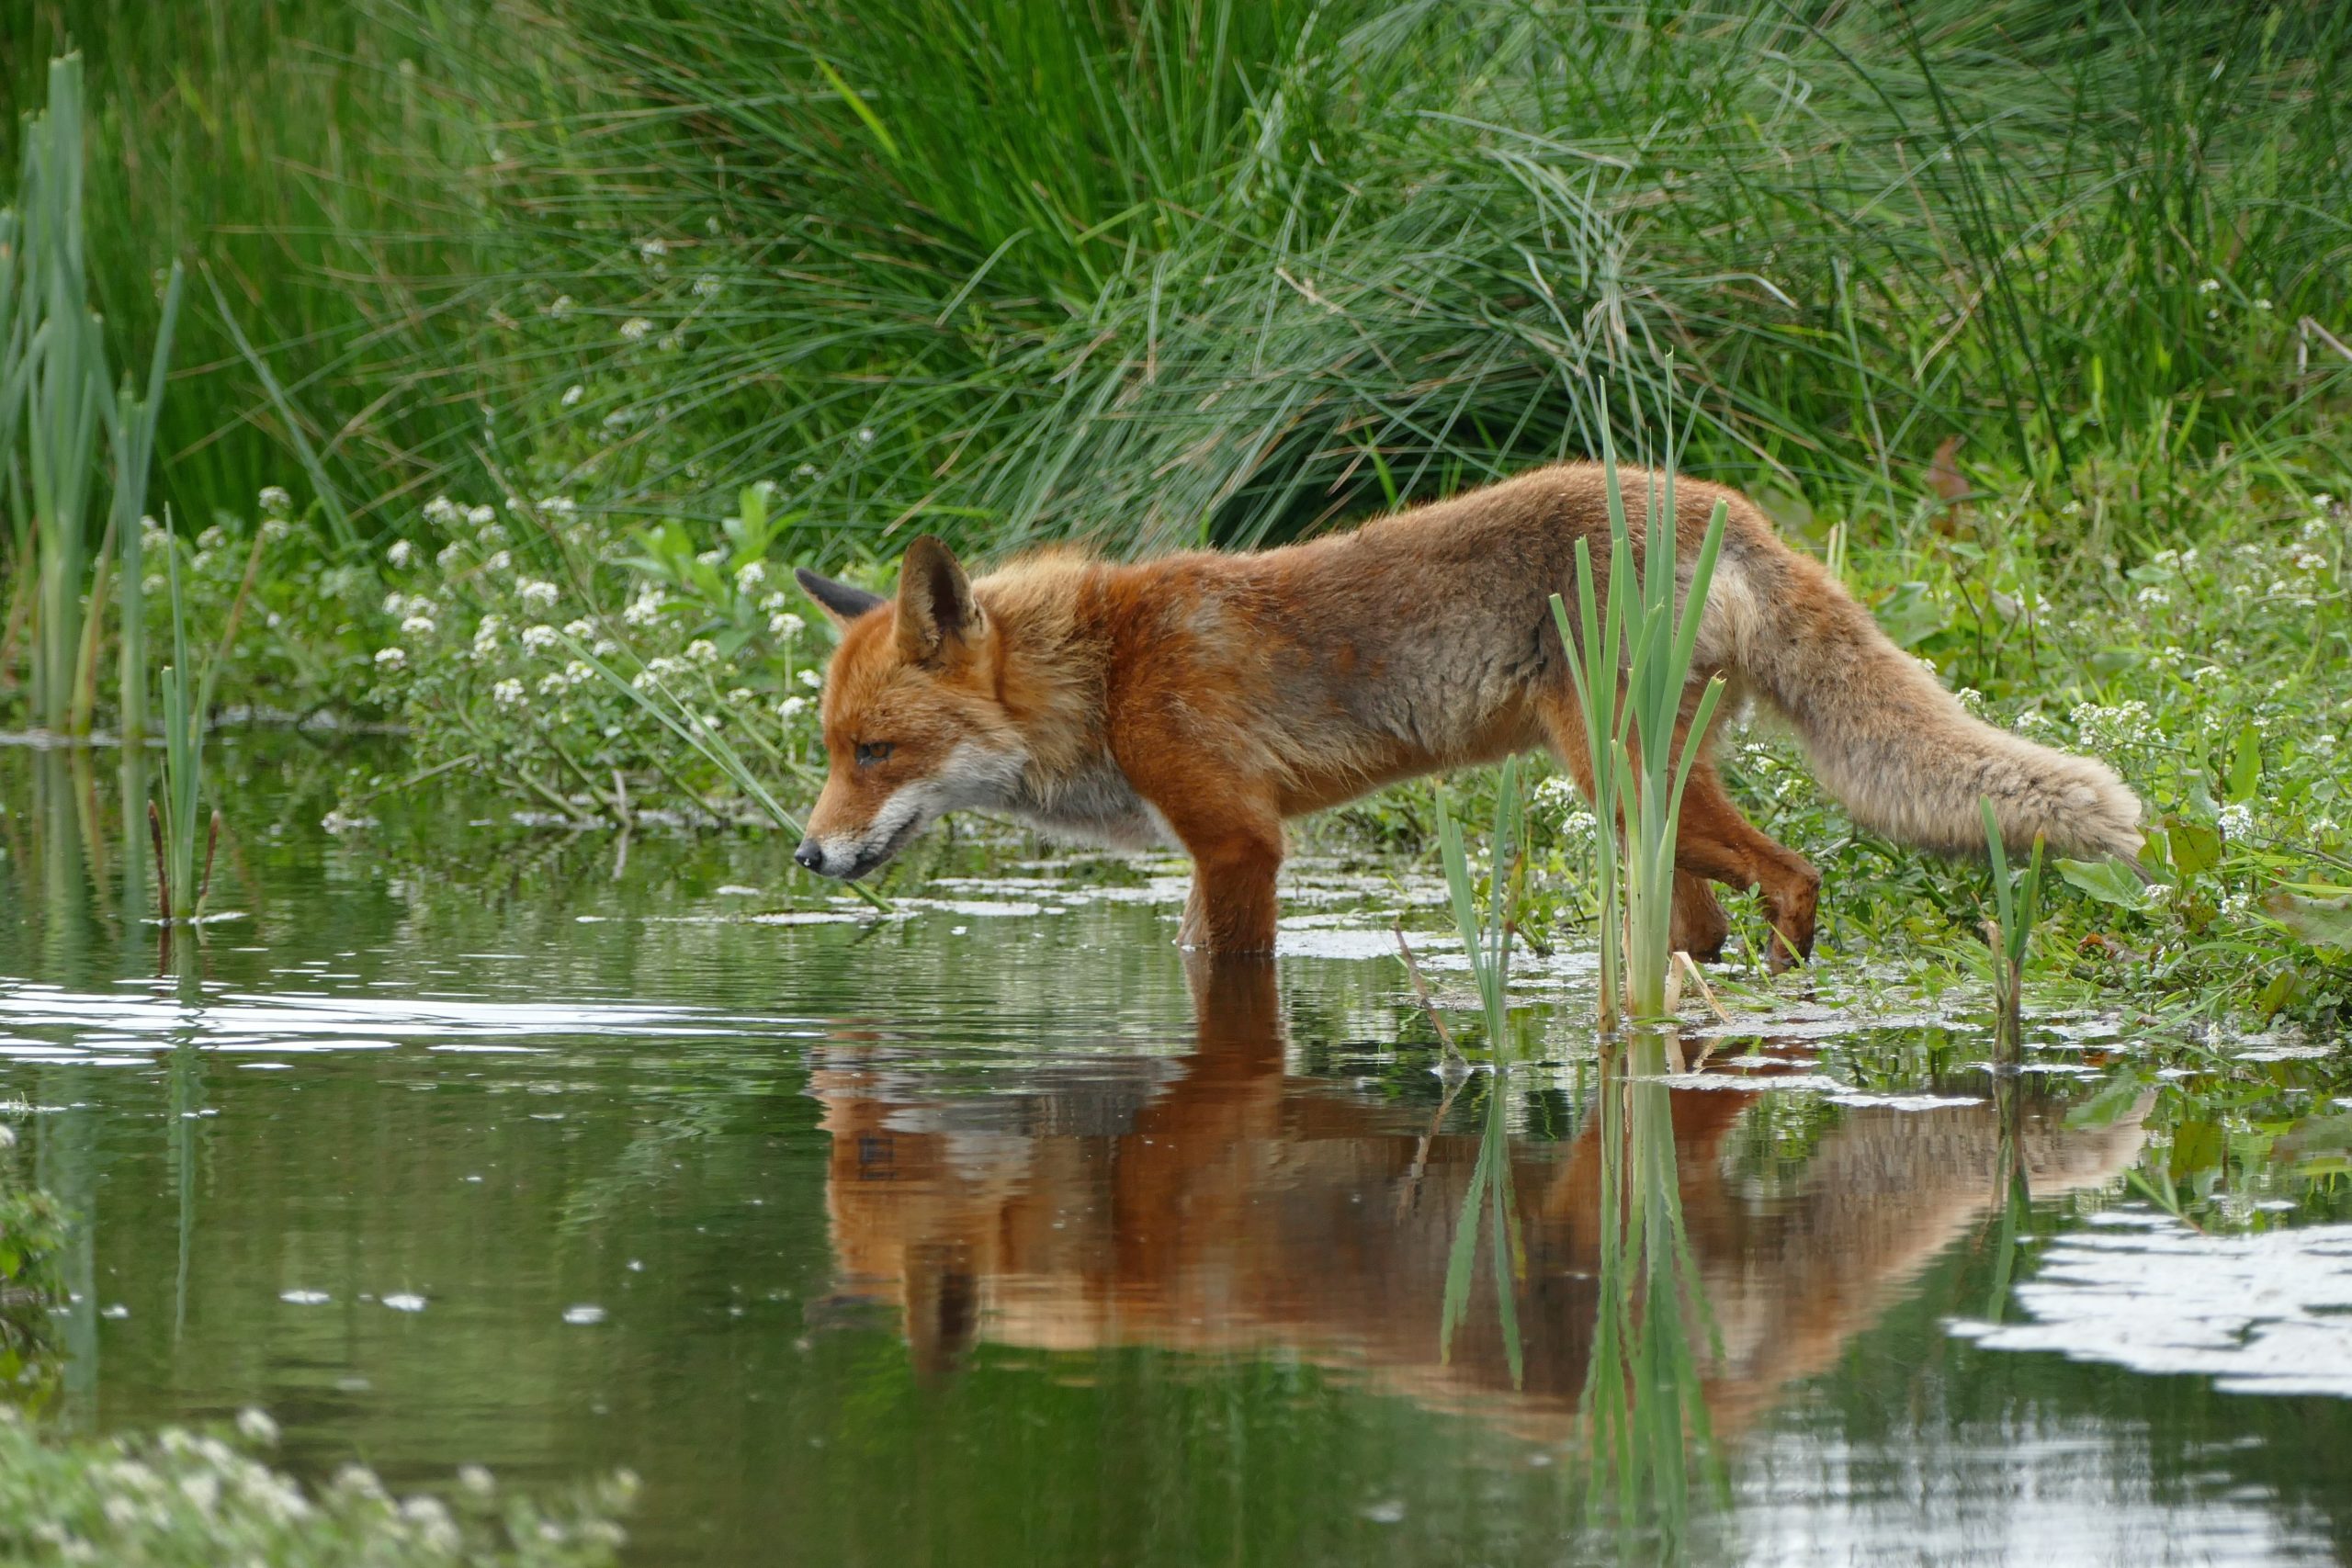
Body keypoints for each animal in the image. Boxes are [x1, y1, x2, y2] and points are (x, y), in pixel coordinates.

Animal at [790, 460, 2135, 964]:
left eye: (877, 750)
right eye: (832, 752)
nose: (807, 855)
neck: (1106, 673)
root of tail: (1724, 504)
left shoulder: (1240, 842)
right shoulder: (1211, 850)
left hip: (1619, 780)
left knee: (1798, 874)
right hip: (1646, 806)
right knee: (1708, 919)